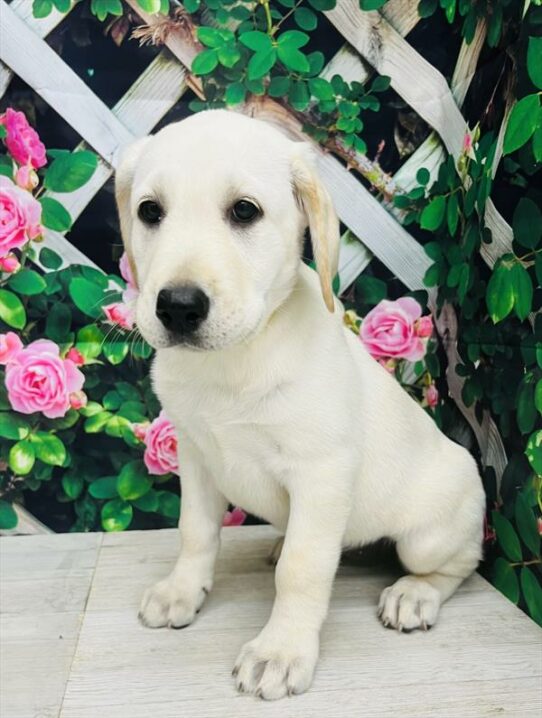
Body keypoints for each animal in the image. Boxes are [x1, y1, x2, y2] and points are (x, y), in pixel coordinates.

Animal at [117, 108, 486, 704]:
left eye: (245, 211)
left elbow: (302, 569)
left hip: (429, 538)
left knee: (460, 564)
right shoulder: (196, 458)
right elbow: (195, 531)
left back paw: (415, 594)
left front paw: (280, 650)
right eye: (150, 211)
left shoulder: (321, 473)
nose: (177, 307)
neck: (233, 362)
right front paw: (181, 591)